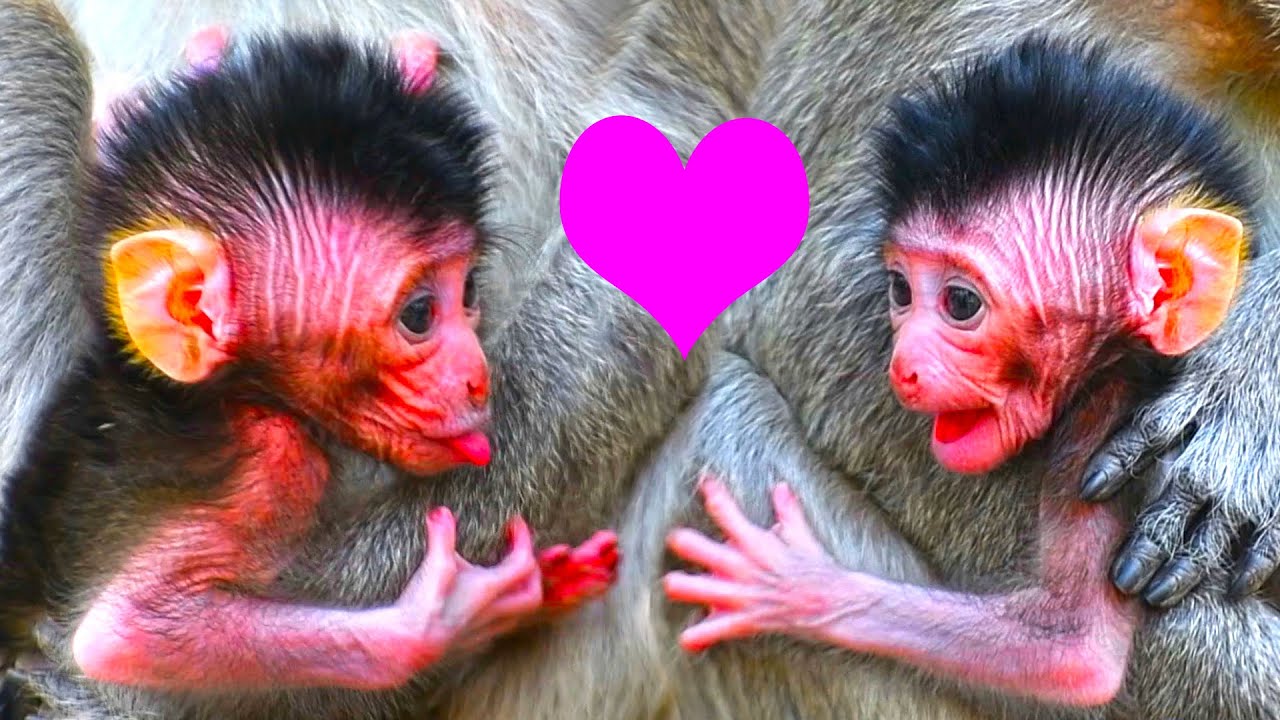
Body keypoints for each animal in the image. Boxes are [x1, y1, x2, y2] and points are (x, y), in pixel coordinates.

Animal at [0, 27, 622, 718]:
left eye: (468, 293)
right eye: (419, 314)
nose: (477, 377)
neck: (228, 395)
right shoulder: (271, 464)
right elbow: (123, 638)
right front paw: (454, 614)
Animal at [665, 34, 1253, 709]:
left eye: (961, 303)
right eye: (900, 290)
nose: (903, 365)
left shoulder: (1106, 417)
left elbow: (1073, 651)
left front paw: (795, 589)